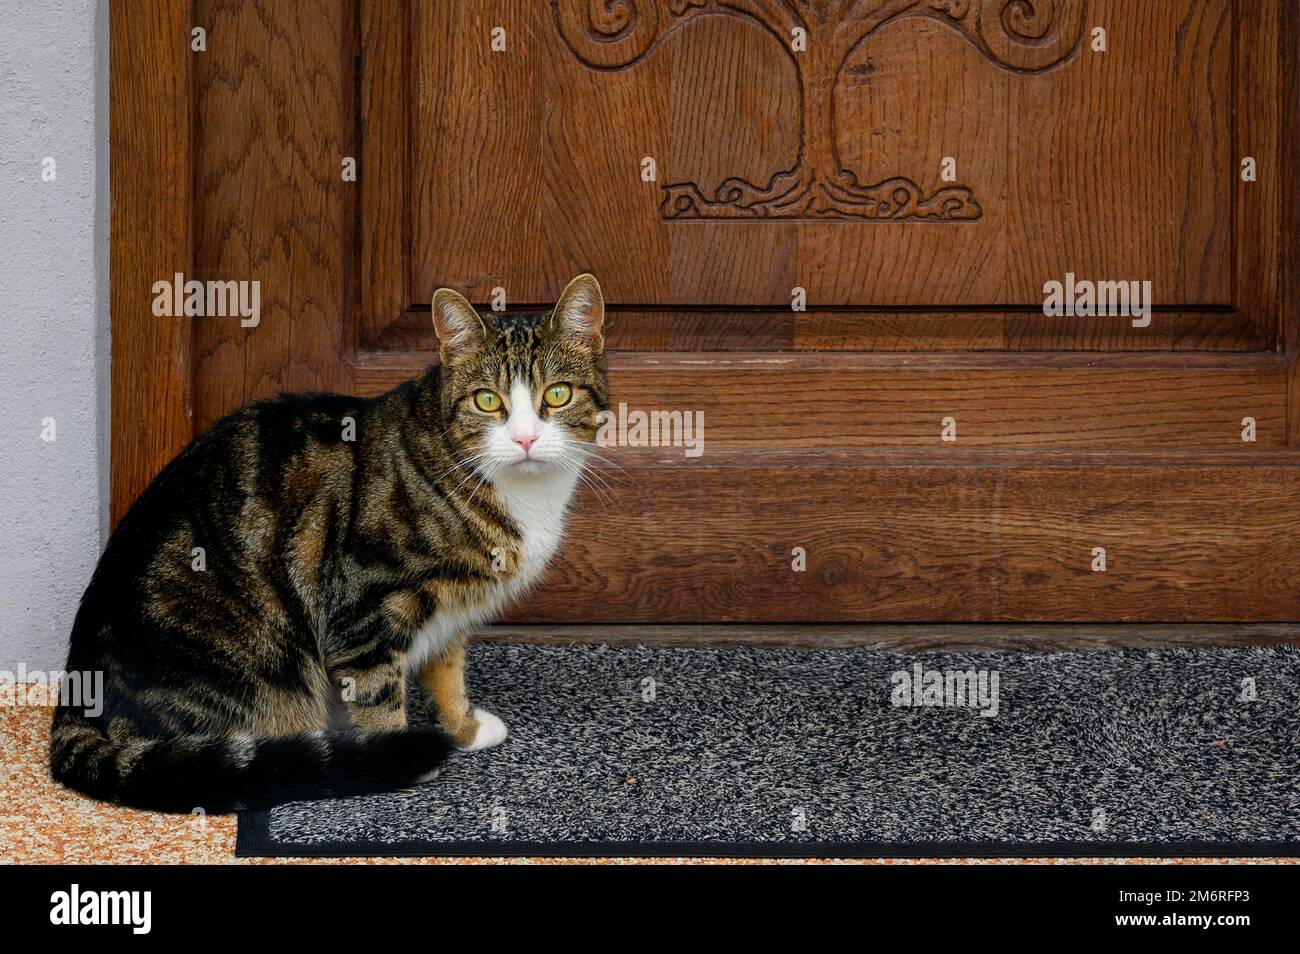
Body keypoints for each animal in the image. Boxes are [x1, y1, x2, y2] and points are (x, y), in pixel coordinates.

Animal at [50, 272, 608, 811]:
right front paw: (395, 759)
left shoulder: (449, 606)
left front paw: (464, 728)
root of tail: (77, 695)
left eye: (557, 394)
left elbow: (447, 669)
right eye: (488, 400)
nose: (525, 439)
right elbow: (377, 696)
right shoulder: (364, 607)